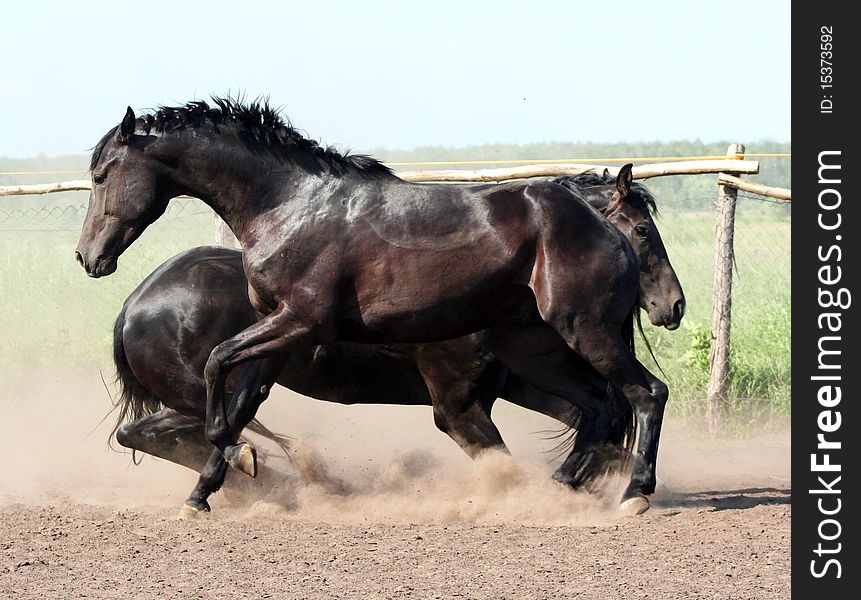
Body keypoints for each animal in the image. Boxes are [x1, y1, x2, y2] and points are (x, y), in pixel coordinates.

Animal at [79, 99, 684, 516]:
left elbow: (220, 371)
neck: (288, 206)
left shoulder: (302, 325)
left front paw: (239, 461)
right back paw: (563, 487)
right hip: (537, 350)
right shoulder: (280, 333)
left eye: (101, 175)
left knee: (645, 394)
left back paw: (633, 494)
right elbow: (237, 394)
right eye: (645, 228)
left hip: (581, 332)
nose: (89, 256)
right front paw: (209, 486)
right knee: (602, 404)